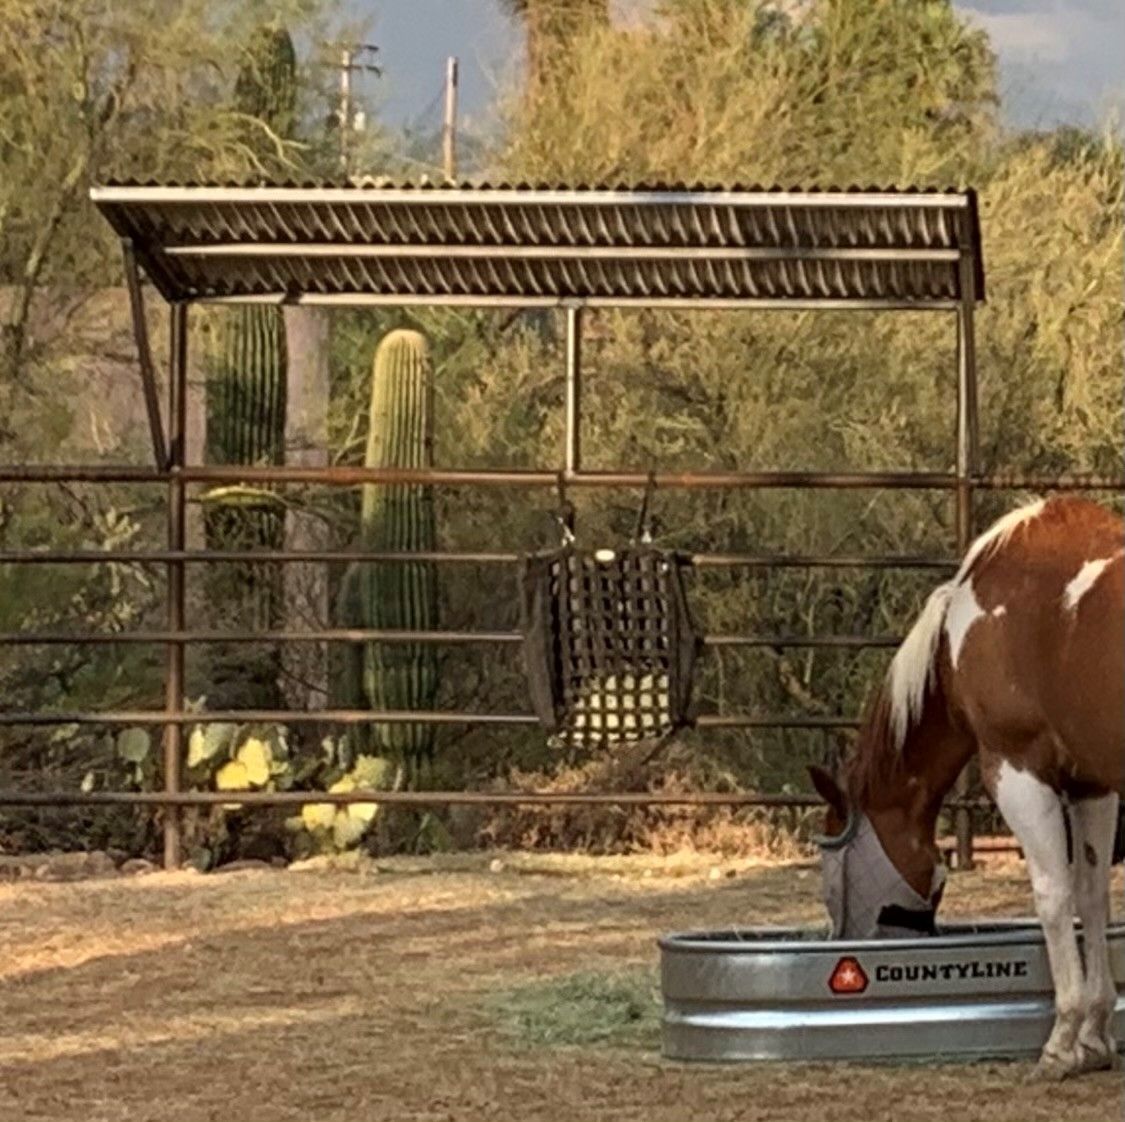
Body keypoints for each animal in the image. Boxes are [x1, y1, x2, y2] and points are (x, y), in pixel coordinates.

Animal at [808, 495, 1123, 1080]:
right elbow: (1091, 896)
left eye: (832, 872)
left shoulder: (1017, 769)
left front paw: (1060, 1043)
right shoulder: (1091, 784)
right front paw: (1093, 1037)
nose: (849, 949)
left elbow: (1053, 896)